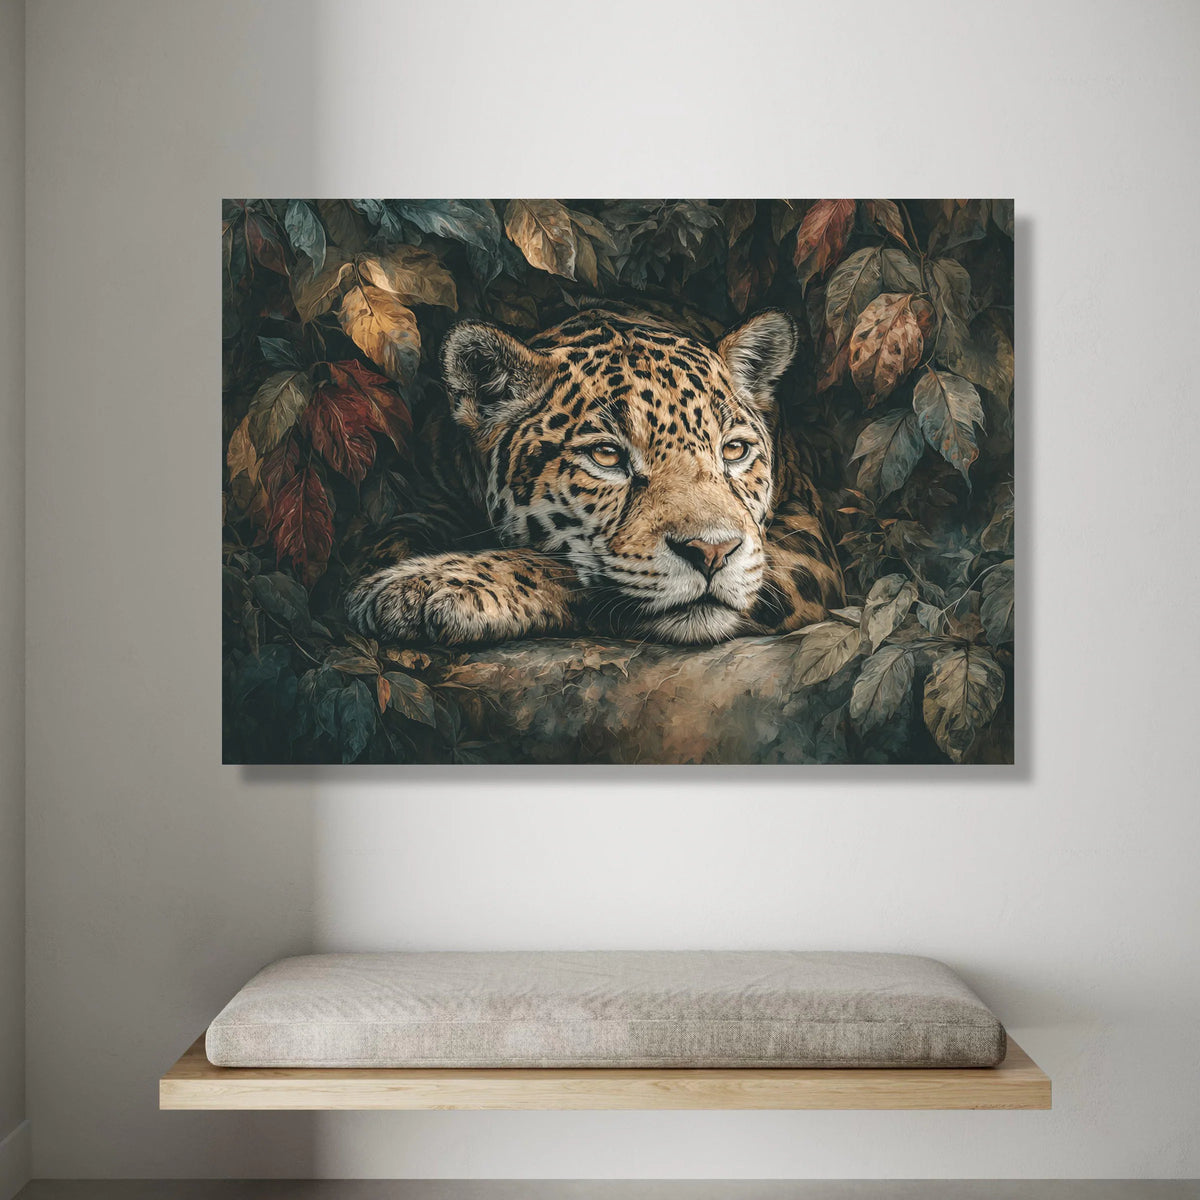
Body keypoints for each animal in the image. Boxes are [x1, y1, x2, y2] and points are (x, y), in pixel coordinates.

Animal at [345, 304, 844, 647]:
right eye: (607, 456)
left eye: (734, 451)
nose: (712, 552)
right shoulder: (422, 500)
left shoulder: (804, 547)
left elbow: (565, 570)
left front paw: (430, 586)